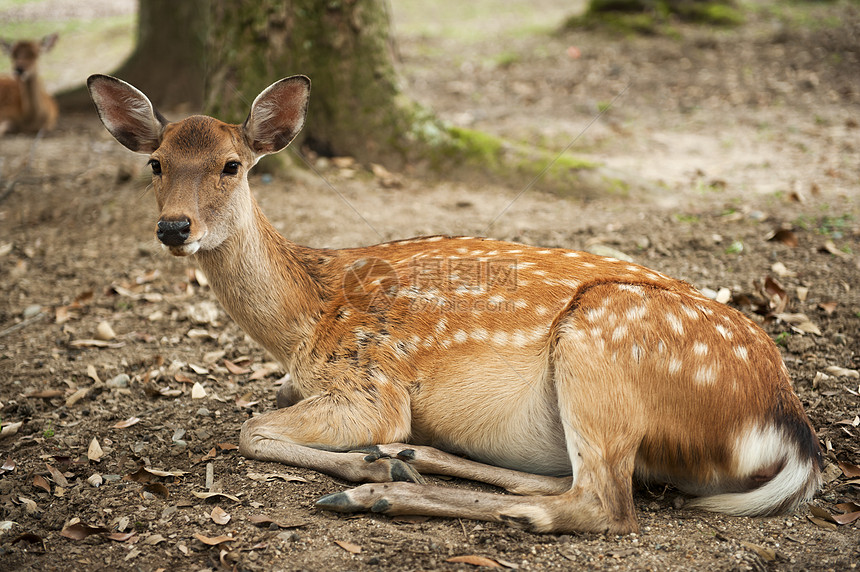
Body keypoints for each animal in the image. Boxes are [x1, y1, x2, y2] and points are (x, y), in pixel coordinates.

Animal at [85, 73, 820, 536]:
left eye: (233, 165)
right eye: (155, 163)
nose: (174, 227)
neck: (304, 321)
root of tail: (790, 427)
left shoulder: (371, 384)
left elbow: (250, 430)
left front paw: (363, 459)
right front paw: (378, 455)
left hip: (603, 344)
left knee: (602, 504)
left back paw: (377, 488)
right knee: (574, 483)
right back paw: (410, 461)